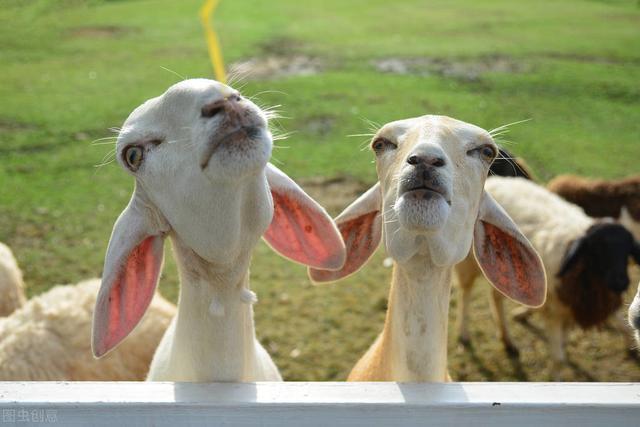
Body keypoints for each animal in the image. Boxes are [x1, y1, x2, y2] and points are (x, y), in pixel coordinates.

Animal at [456, 176, 640, 376]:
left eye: (627, 252)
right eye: (597, 250)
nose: (622, 282)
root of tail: (495, 180)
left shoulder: (569, 310)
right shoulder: (554, 312)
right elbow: (559, 359)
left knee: (495, 297)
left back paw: (508, 341)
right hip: (468, 263)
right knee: (465, 295)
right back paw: (464, 334)